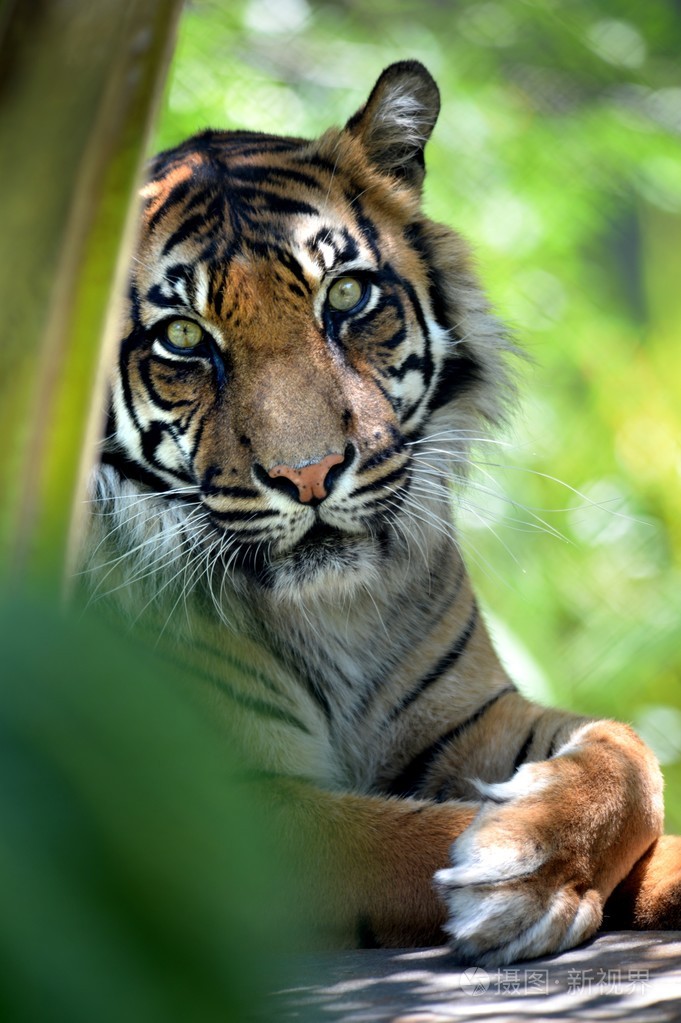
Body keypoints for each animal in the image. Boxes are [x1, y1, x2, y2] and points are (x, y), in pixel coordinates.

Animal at [85, 60, 681, 965]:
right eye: (183, 336)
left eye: (347, 295)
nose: (308, 474)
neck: (333, 612)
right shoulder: (206, 802)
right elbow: (405, 835)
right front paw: (516, 871)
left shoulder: (472, 715)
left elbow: (628, 750)